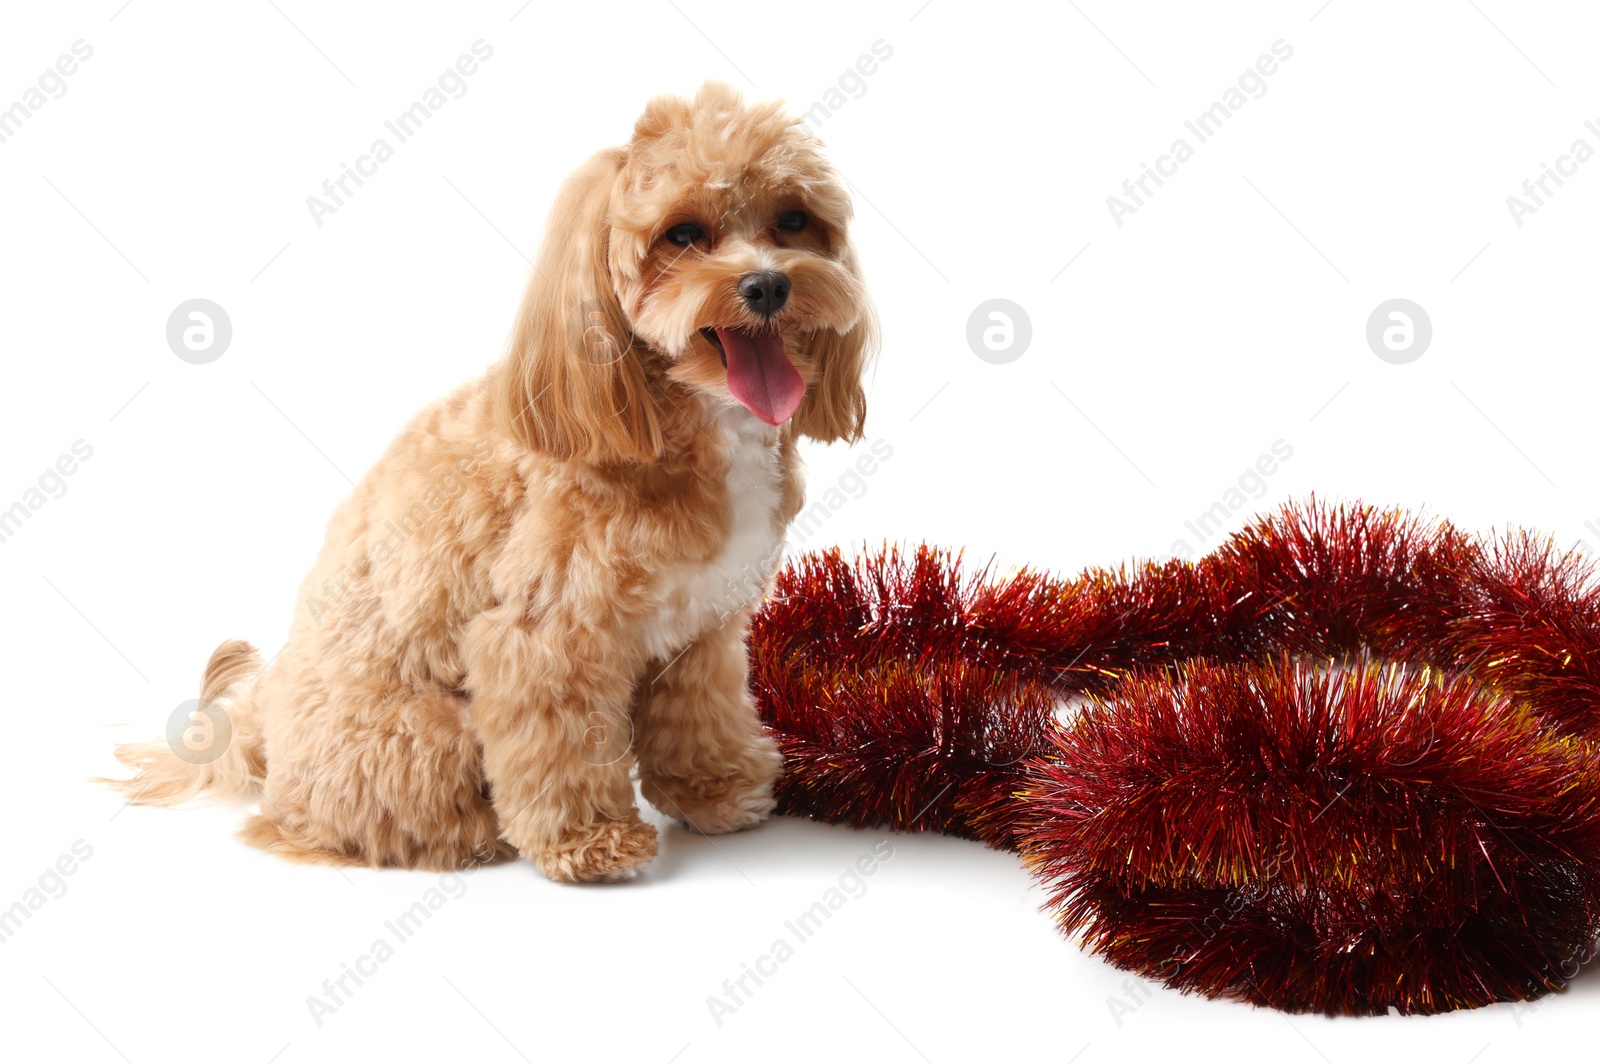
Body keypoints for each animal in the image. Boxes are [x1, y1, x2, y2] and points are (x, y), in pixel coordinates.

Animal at [108, 80, 883, 876]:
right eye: (683, 233)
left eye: (794, 219)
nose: (768, 285)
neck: (680, 417)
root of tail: (262, 727)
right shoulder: (547, 635)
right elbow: (560, 744)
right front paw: (586, 840)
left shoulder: (703, 628)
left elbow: (700, 713)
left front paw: (715, 789)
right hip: (427, 733)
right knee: (359, 819)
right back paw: (475, 836)